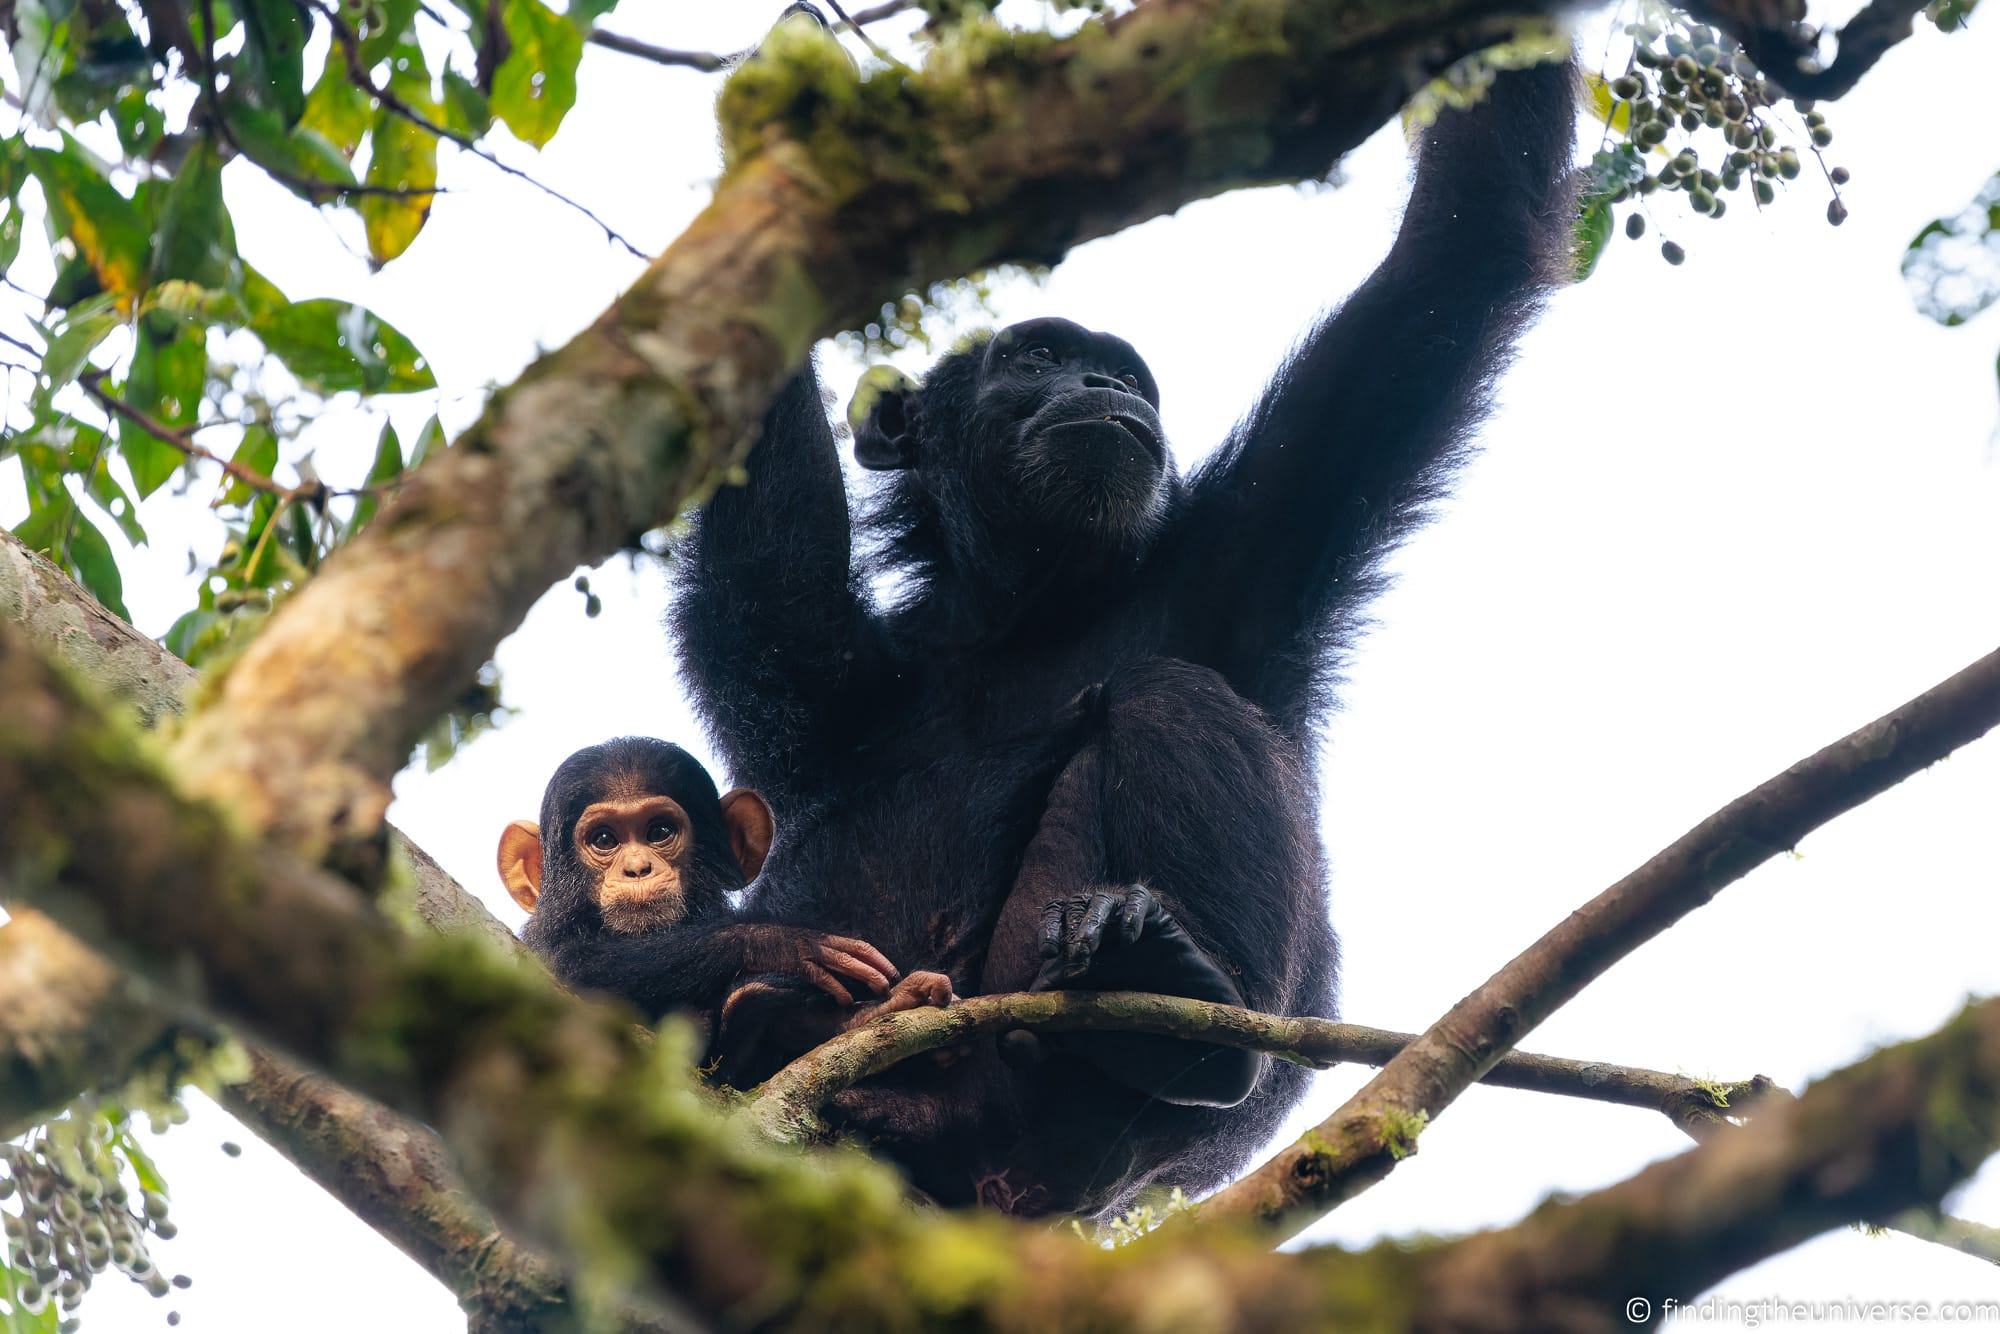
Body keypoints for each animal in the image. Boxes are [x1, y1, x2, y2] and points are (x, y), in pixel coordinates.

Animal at [680, 60, 1584, 1208]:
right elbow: (763, 546)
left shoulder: (1261, 530)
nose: (1103, 384)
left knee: (1170, 697)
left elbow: (1463, 245)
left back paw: (1171, 1006)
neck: (1031, 609)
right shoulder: (818, 674)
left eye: (1124, 373)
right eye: (1038, 354)